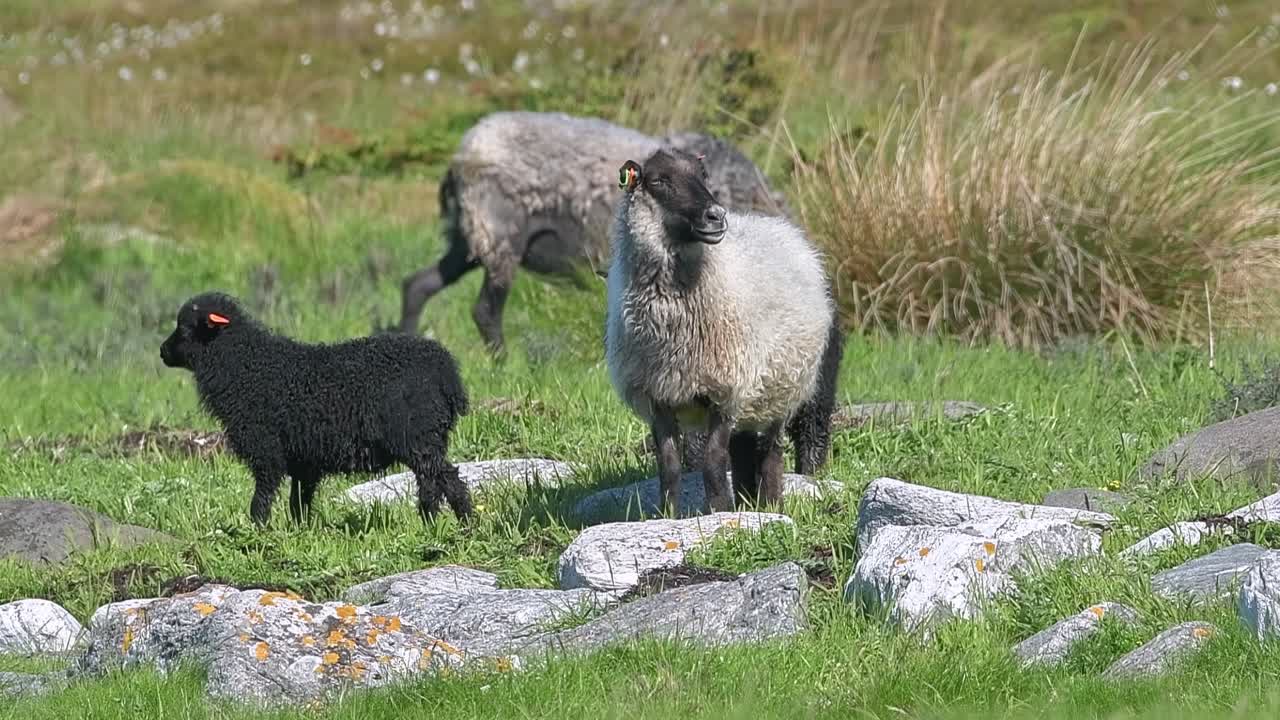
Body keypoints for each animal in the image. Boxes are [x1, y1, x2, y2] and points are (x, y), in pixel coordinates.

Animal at [160, 291, 471, 526]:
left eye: (185, 327)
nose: (162, 352)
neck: (246, 366)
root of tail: (446, 370)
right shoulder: (304, 459)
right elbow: (299, 500)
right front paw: (301, 530)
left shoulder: (266, 450)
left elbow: (263, 496)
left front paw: (258, 529)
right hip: (428, 437)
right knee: (436, 480)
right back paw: (444, 521)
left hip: (416, 436)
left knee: (442, 478)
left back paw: (452, 522)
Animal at [396, 111, 787, 352]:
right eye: (662, 182)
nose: (715, 218)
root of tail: (461, 158)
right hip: (499, 232)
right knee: (485, 311)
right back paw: (502, 365)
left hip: (470, 237)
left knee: (418, 284)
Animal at [605, 147, 836, 513]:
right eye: (658, 180)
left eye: (704, 175)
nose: (715, 216)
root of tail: (776, 226)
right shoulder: (657, 394)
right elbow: (669, 465)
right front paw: (669, 514)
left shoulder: (725, 390)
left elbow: (713, 461)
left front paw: (719, 511)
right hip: (754, 395)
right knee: (743, 449)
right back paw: (745, 500)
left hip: (783, 386)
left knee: (770, 450)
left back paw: (770, 504)